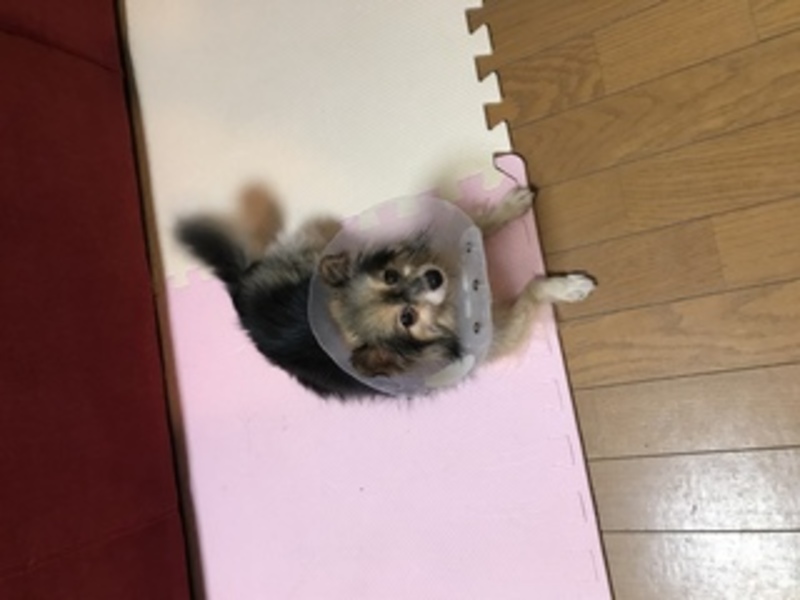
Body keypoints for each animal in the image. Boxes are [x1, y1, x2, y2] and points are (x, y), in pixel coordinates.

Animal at [176, 185, 596, 400]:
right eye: (406, 319)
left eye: (391, 275)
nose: (432, 278)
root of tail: (239, 289)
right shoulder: (499, 334)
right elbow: (533, 288)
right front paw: (569, 286)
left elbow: (482, 221)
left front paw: (511, 203)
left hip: (314, 250)